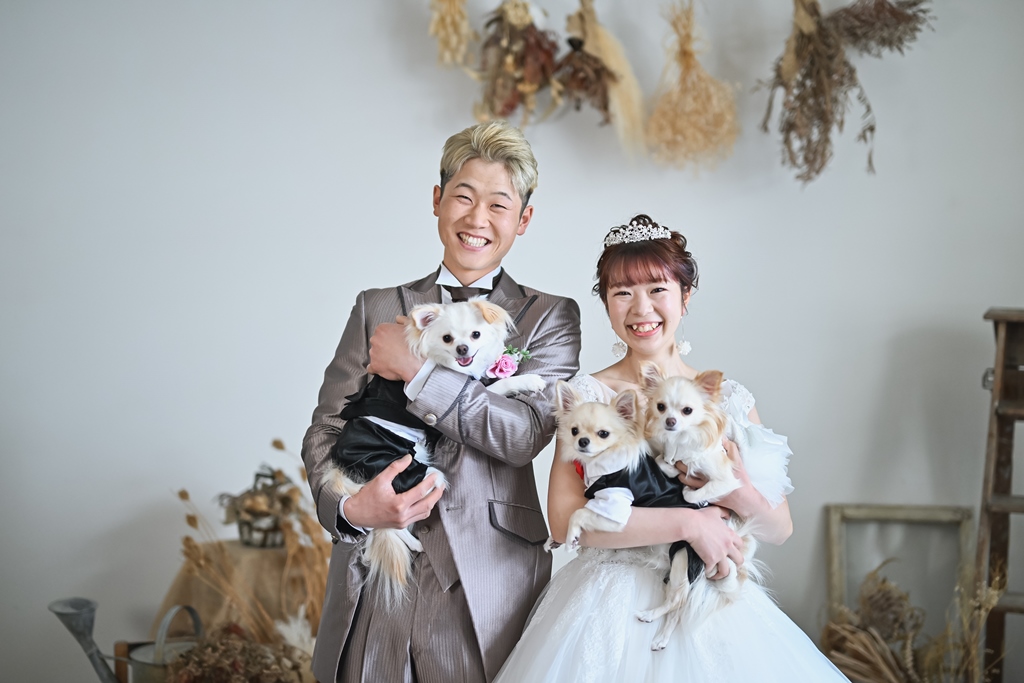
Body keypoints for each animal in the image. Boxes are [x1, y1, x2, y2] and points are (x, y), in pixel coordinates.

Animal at [326, 298, 545, 608]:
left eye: (475, 335)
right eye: (447, 339)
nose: (463, 349)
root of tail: (344, 469)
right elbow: (493, 386)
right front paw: (526, 381)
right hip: (420, 477)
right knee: (391, 523)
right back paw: (414, 543)